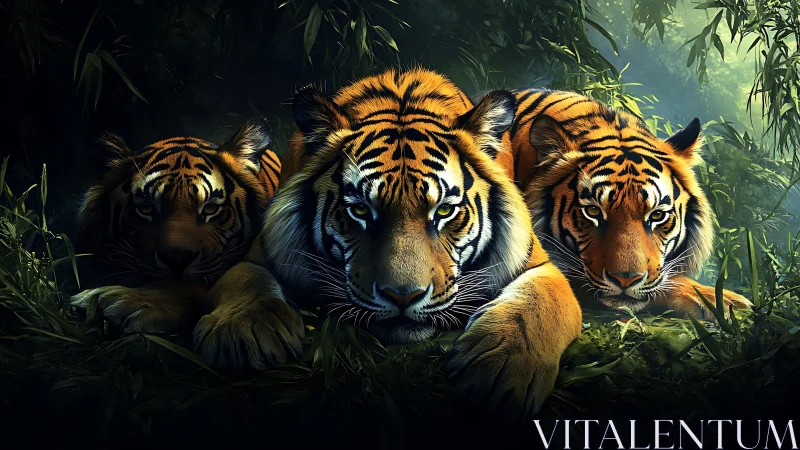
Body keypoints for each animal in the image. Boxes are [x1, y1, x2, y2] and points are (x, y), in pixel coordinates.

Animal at [192, 68, 583, 418]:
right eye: (361, 210)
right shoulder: (261, 252)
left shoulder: (538, 263)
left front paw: (500, 367)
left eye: (444, 210)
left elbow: (540, 304)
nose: (402, 297)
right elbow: (246, 281)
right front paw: (240, 337)